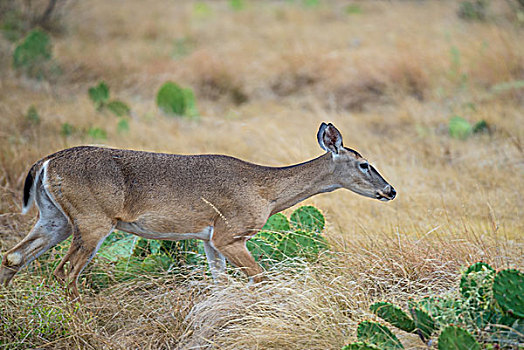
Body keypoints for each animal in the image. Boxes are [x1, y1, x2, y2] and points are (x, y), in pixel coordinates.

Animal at [0, 123, 392, 298]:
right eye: (365, 164)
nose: (390, 190)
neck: (265, 191)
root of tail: (46, 162)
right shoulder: (230, 234)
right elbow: (260, 277)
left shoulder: (209, 239)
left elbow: (220, 284)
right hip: (93, 220)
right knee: (63, 274)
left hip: (57, 219)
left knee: (14, 256)